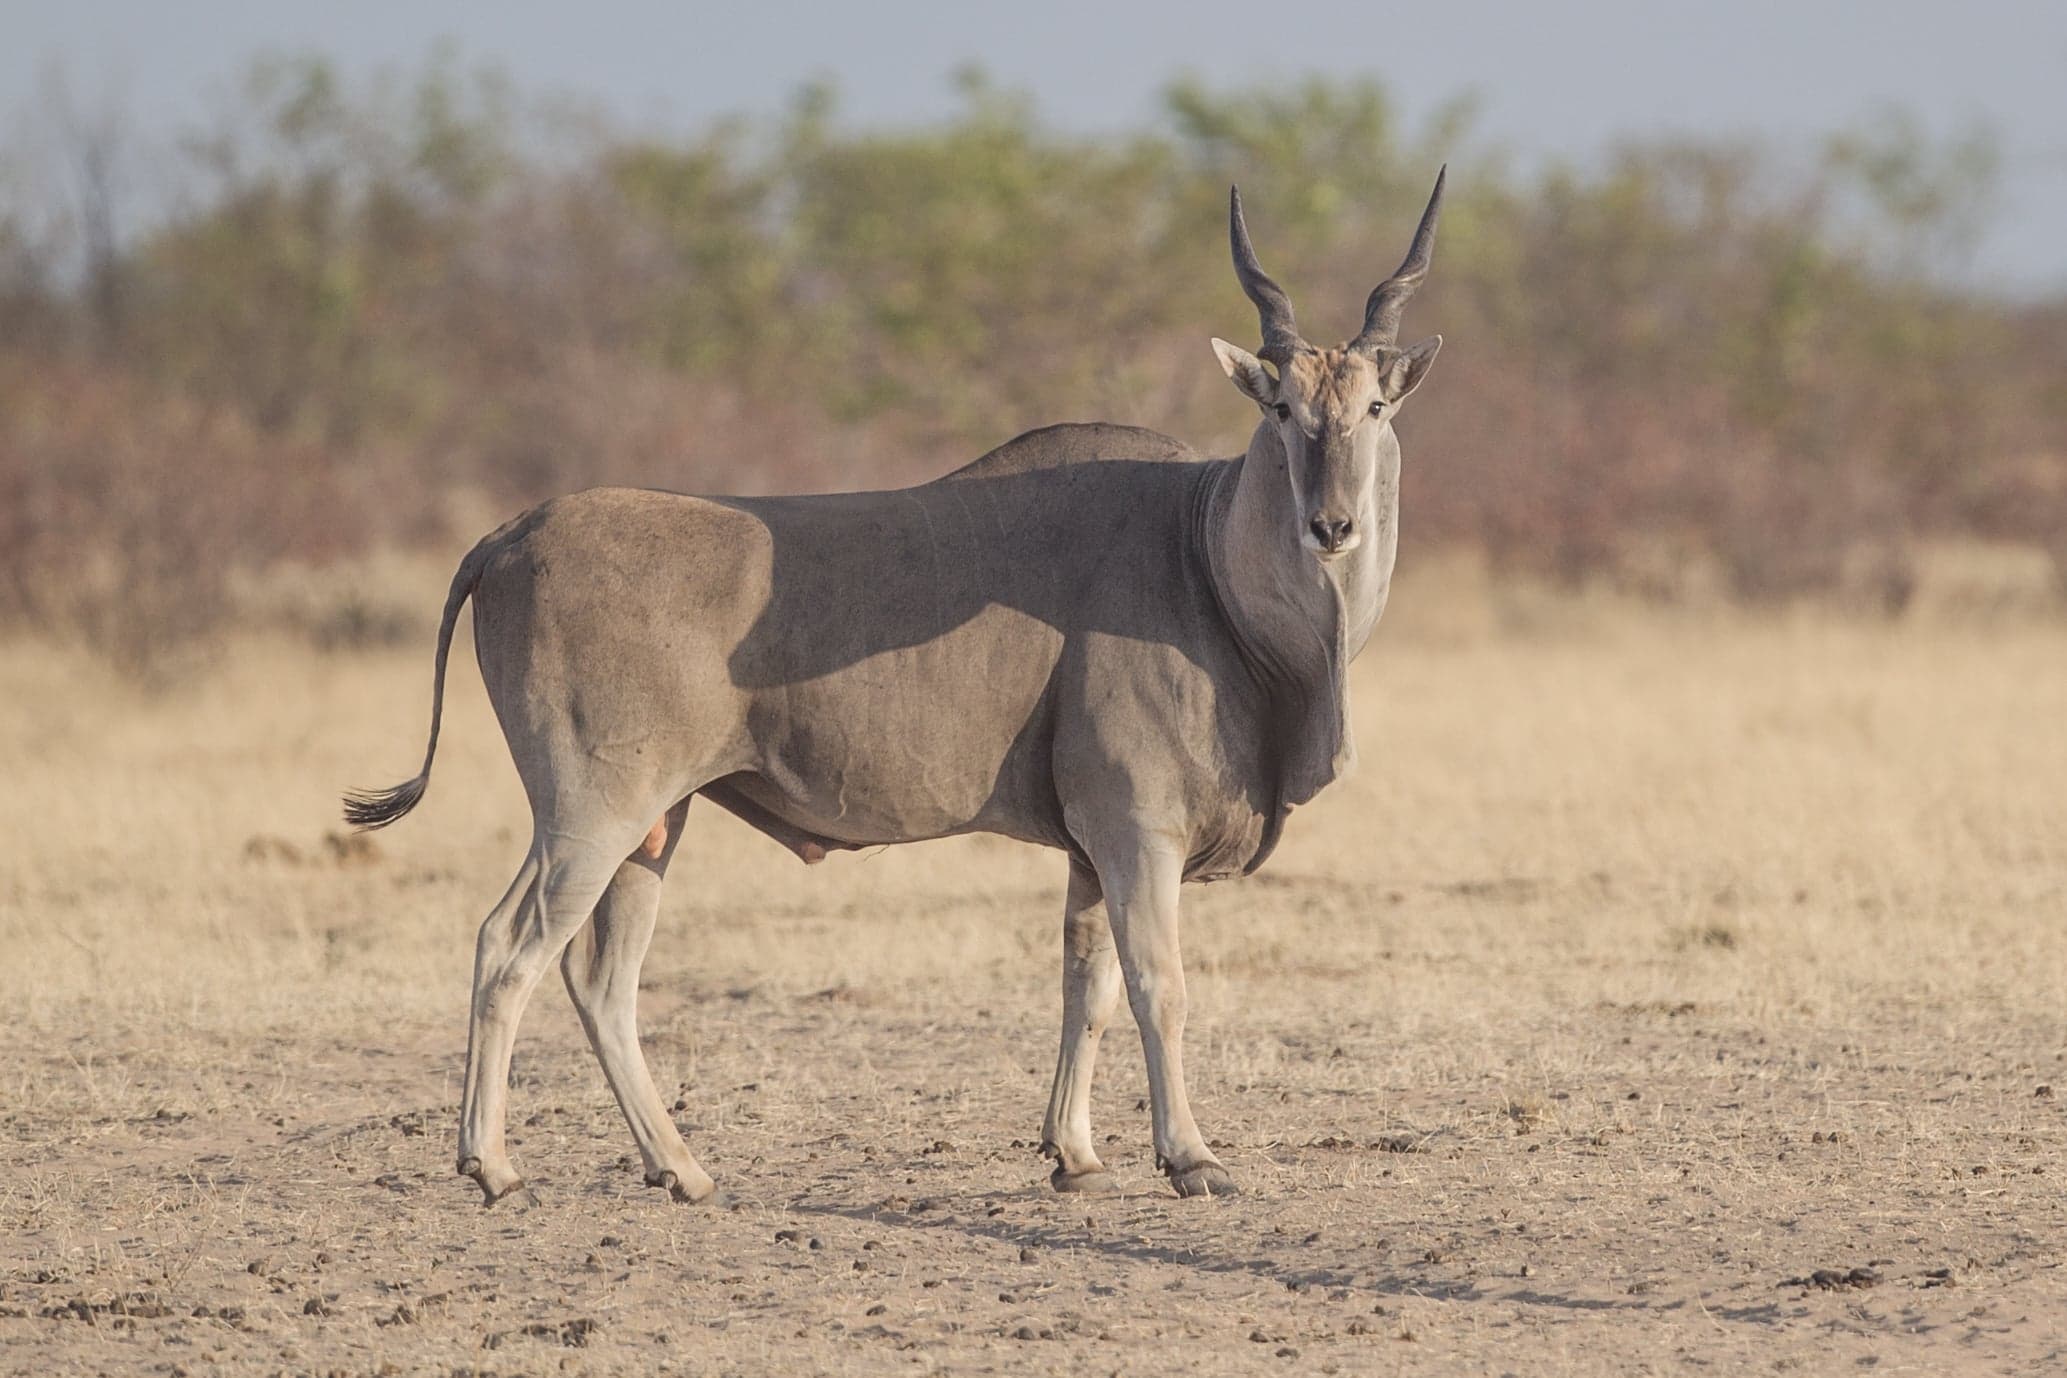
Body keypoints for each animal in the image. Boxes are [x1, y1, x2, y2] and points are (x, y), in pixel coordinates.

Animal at [347, 170, 1446, 1204]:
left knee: (598, 976)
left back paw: (681, 1168)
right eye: (1282, 409)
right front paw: (1191, 1157)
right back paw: (493, 1165)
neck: (1201, 551)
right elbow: (1154, 984)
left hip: (653, 825)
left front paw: (1074, 1154)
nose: (1333, 525)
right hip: (589, 814)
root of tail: (510, 535)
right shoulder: (1141, 831)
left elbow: (1083, 982)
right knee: (508, 947)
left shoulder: (1093, 851)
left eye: (1375, 408)